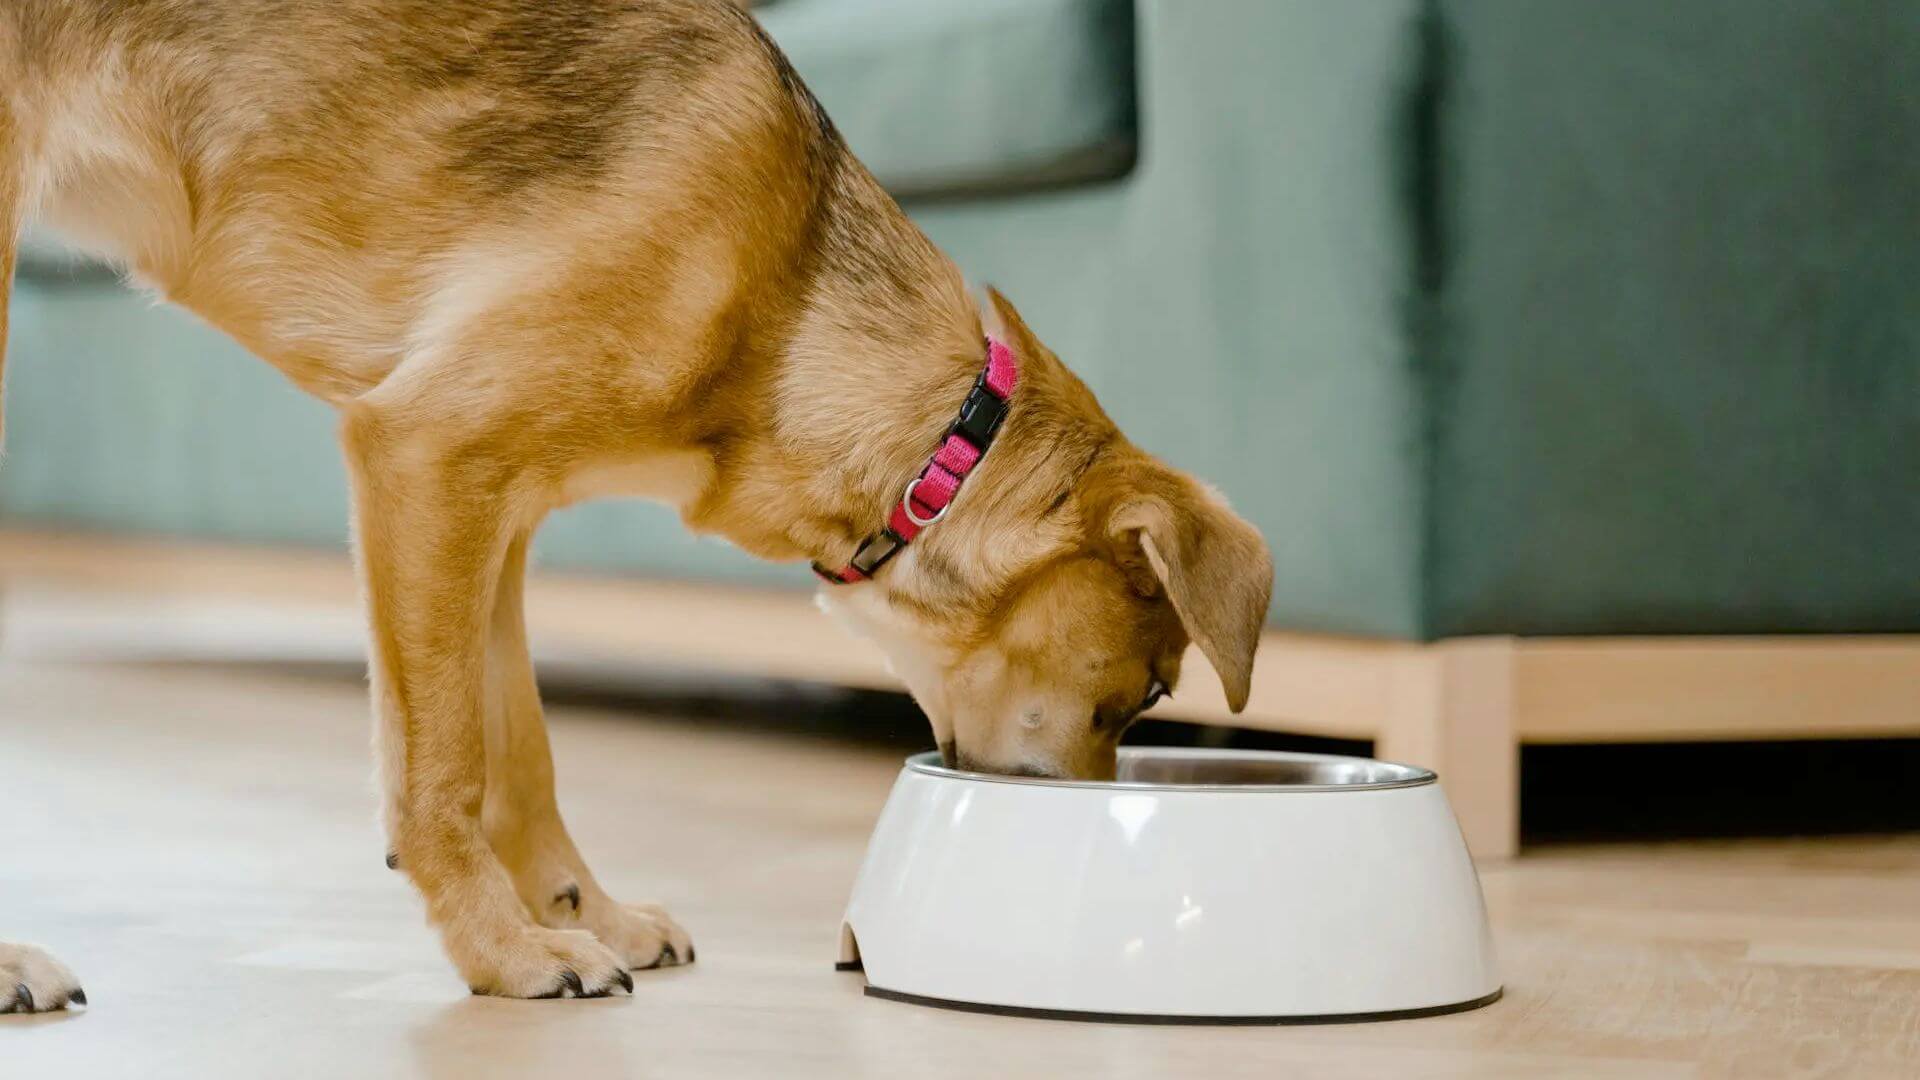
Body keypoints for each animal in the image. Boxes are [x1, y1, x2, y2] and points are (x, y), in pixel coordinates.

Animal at [3, 0, 1274, 999]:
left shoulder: (492, 513)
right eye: (1143, 695)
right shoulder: (423, 454)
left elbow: (518, 753)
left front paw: (580, 916)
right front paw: (503, 954)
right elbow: (445, 766)